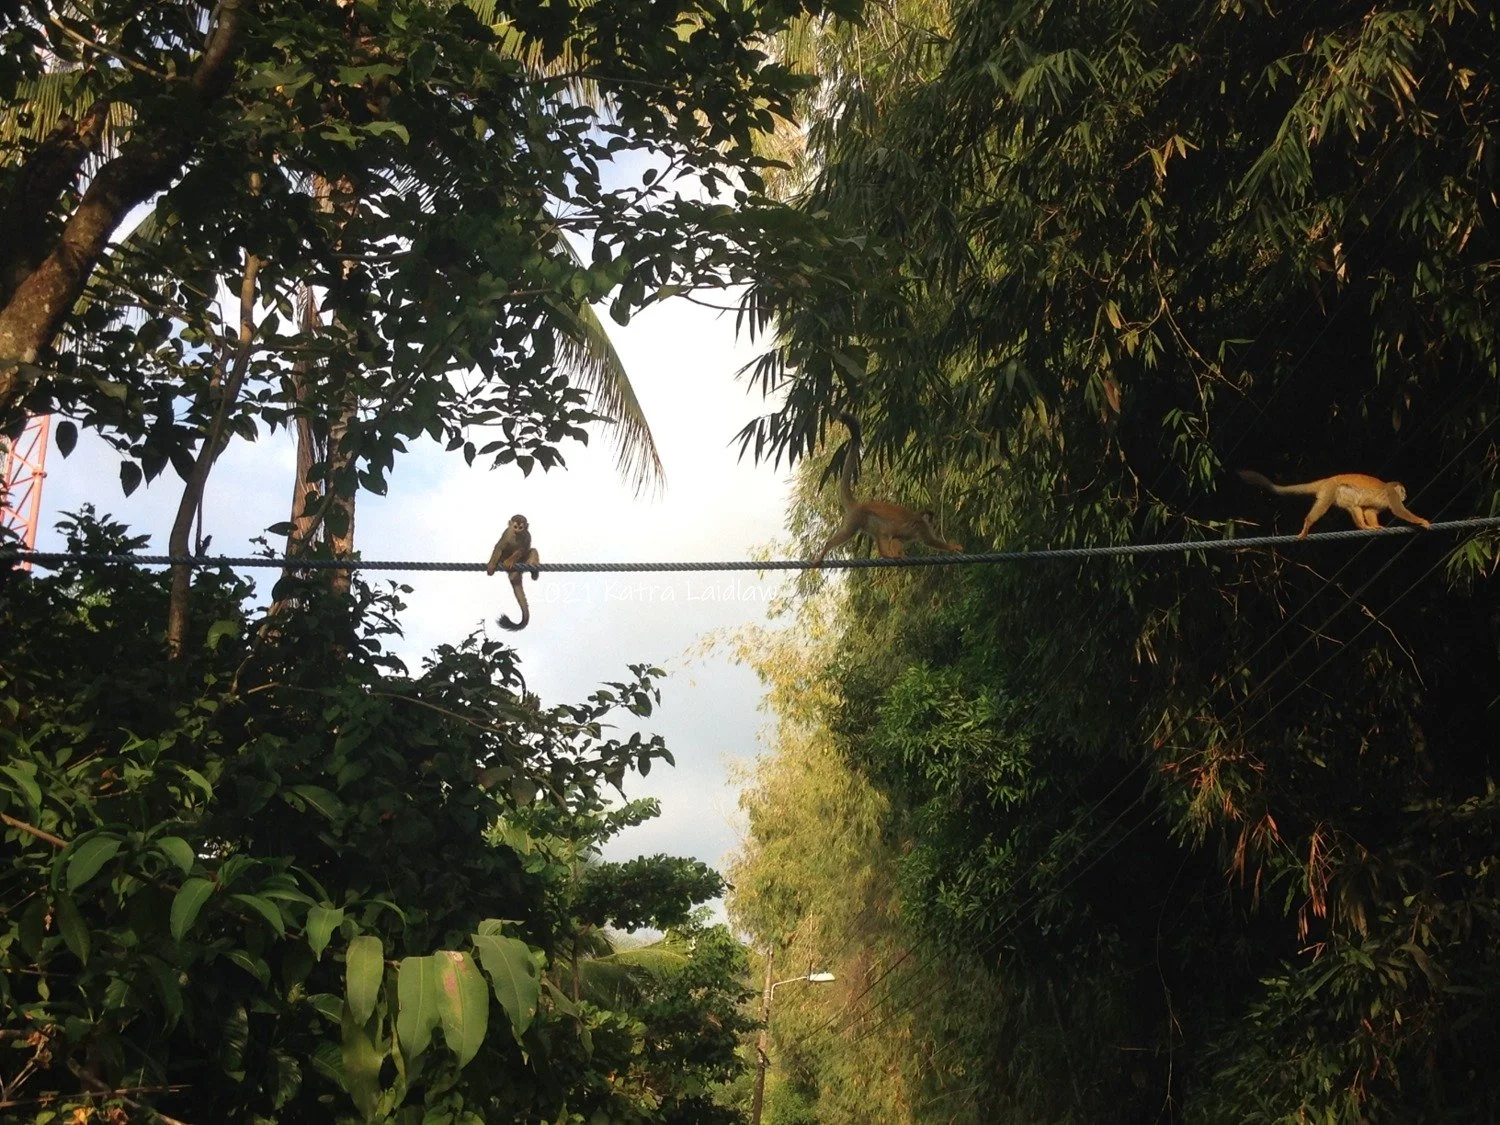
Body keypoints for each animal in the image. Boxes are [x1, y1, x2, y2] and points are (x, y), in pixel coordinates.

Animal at [811, 413, 963, 567]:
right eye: (931, 519)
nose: (933, 523)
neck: (920, 517)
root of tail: (859, 504)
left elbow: (897, 538)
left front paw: (900, 555)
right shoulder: (922, 527)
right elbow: (930, 541)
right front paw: (953, 547)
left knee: (882, 531)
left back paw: (885, 554)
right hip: (857, 517)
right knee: (852, 532)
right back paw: (826, 548)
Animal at [1237, 470, 1432, 539]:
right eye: (1403, 491)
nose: (1405, 494)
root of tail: (1328, 480)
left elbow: (1370, 510)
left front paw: (1375, 525)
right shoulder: (1392, 494)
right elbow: (1399, 510)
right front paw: (1422, 521)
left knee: (1354, 505)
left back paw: (1363, 526)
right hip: (1330, 490)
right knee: (1323, 506)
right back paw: (1307, 525)